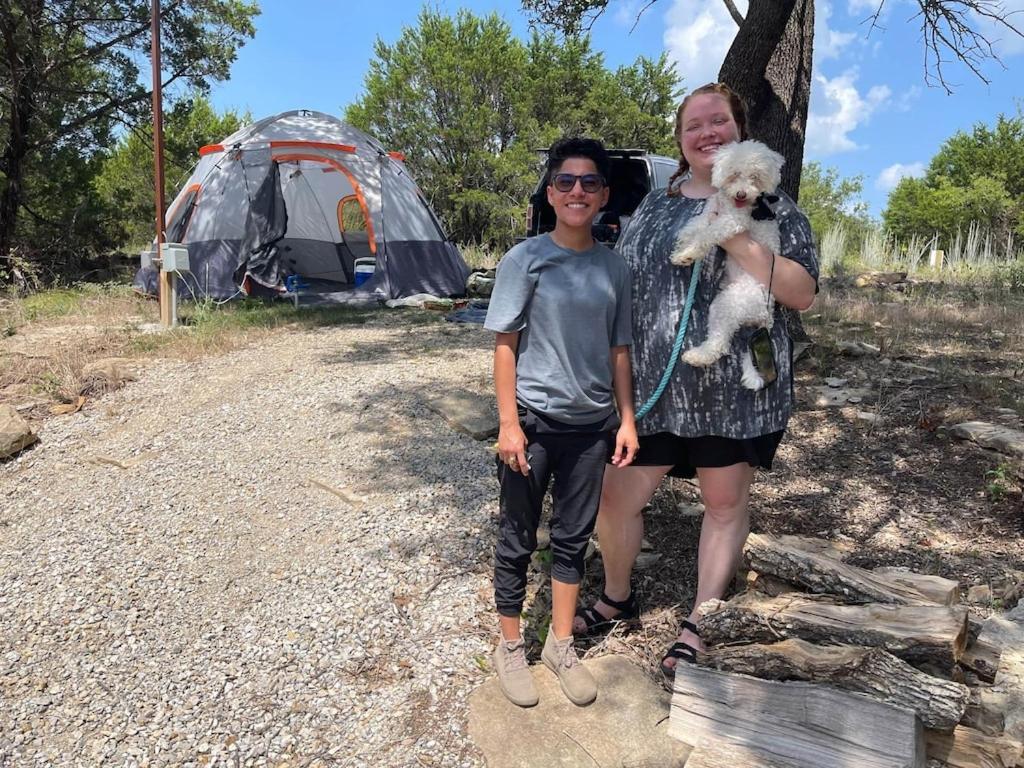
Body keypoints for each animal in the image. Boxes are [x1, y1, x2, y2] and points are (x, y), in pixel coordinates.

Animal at [671, 140, 782, 391]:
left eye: (754, 177)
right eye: (734, 174)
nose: (742, 193)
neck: (731, 203)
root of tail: (767, 316)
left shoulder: (732, 223)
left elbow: (707, 234)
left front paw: (689, 253)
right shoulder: (710, 211)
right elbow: (693, 226)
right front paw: (682, 248)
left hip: (729, 304)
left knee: (719, 344)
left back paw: (697, 356)